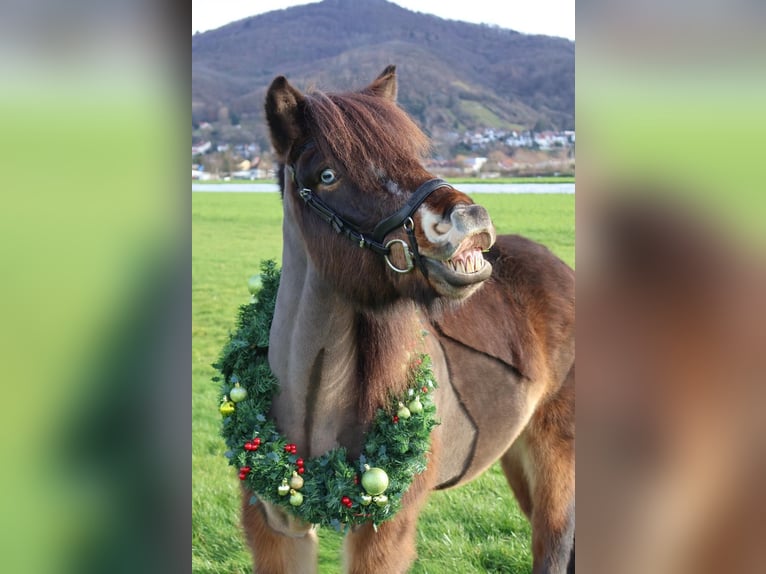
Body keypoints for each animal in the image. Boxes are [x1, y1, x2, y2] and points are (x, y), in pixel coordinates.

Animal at [242, 65, 575, 574]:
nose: (468, 221)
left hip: (557, 454)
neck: (313, 399)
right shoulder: (277, 527)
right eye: (327, 174)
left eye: (411, 153)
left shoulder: (383, 531)